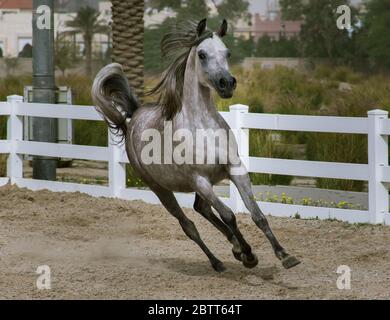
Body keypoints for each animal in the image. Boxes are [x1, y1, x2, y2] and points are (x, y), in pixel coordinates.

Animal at [92, 18, 302, 272]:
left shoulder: (235, 170)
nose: (227, 83)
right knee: (189, 225)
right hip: (160, 189)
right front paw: (249, 255)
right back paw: (219, 261)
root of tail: (135, 116)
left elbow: (256, 214)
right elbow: (229, 215)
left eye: (227, 52)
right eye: (202, 54)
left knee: (202, 209)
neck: (203, 129)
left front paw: (284, 255)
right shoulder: (199, 180)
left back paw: (234, 248)